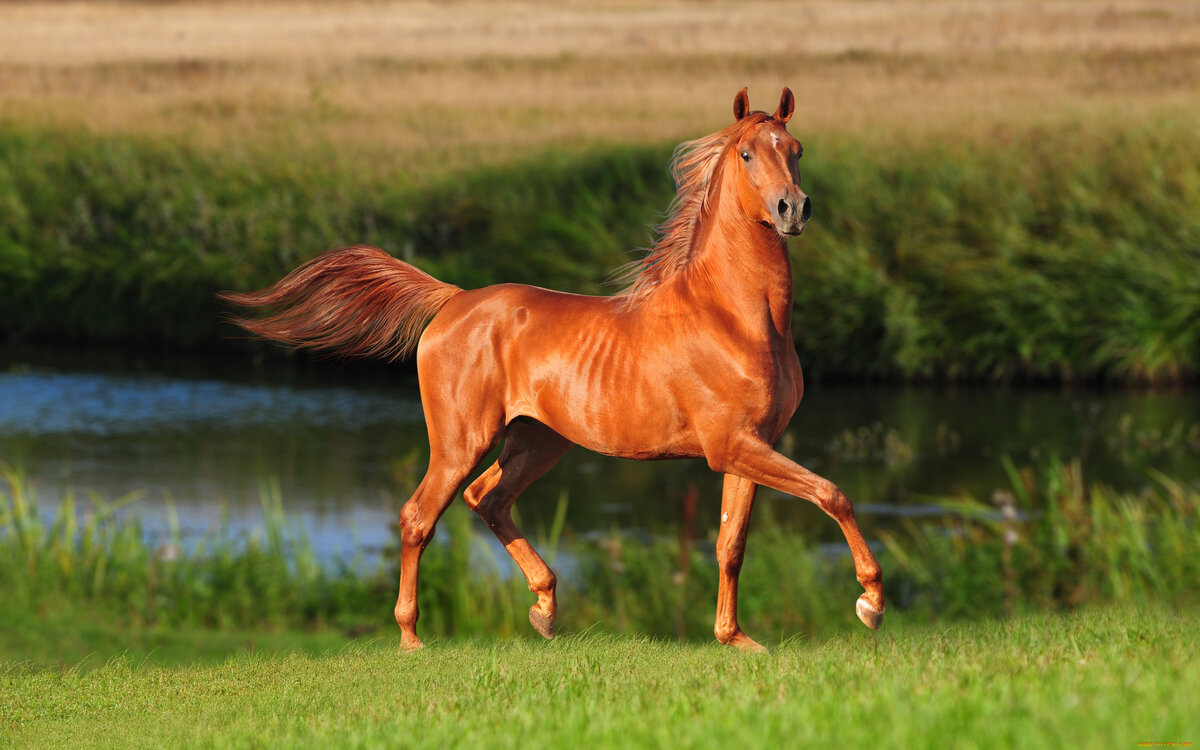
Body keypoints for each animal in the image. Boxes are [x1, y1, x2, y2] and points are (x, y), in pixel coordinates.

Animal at [223, 87, 883, 648]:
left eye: (796, 150)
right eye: (747, 153)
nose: (793, 209)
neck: (735, 317)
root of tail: (453, 301)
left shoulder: (749, 444)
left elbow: (731, 544)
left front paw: (736, 640)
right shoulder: (732, 446)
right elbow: (833, 493)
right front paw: (870, 602)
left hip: (538, 440)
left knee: (487, 500)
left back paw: (543, 608)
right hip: (463, 440)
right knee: (419, 516)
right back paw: (412, 636)